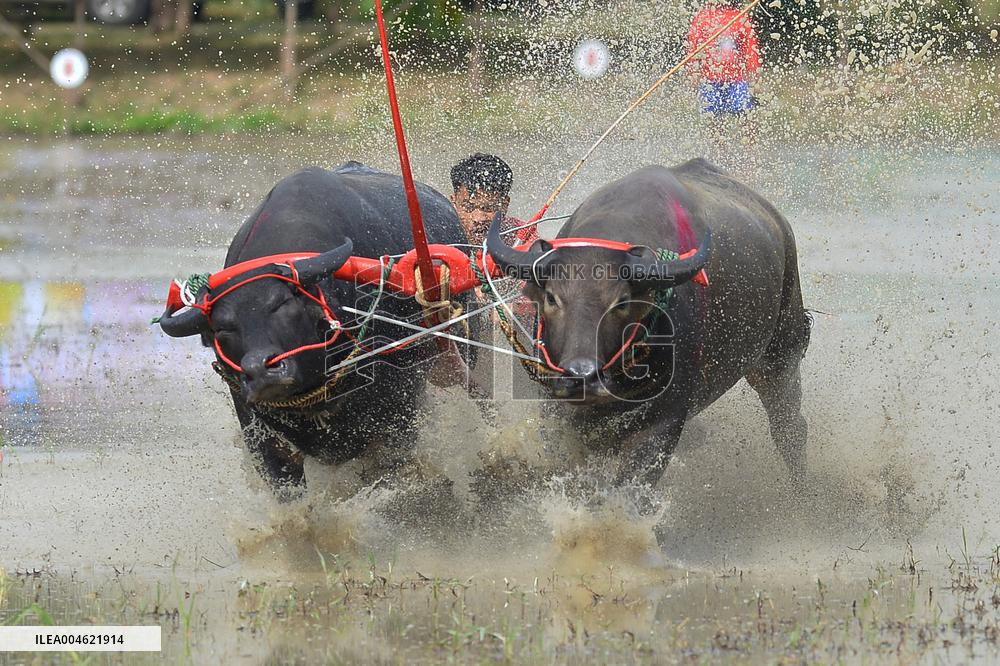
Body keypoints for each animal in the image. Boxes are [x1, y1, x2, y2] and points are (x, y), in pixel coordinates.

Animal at [487, 160, 811, 489]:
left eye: (621, 301)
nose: (581, 376)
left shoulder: (663, 421)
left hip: (780, 353)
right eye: (552, 297)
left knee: (789, 426)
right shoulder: (558, 410)